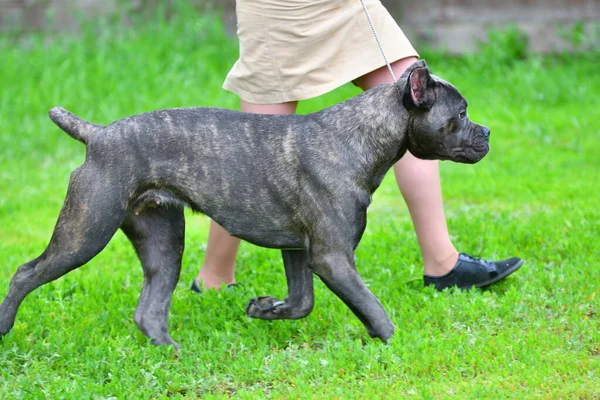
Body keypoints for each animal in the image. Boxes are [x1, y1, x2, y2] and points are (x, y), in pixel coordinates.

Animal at [0, 59, 488, 346]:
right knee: (25, 273)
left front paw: (264, 309)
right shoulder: (332, 257)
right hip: (84, 234)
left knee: (149, 311)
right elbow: (372, 307)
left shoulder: (300, 251)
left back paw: (173, 355)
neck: (363, 136)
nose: (485, 132)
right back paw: (5, 328)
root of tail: (97, 135)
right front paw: (395, 344)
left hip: (163, 243)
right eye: (461, 114)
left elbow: (302, 302)